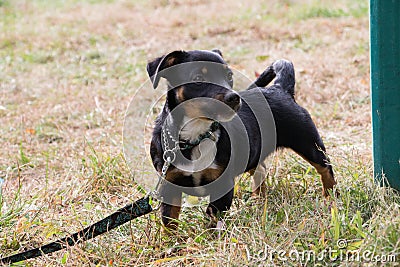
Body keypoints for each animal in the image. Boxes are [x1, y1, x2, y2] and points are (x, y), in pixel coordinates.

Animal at [145, 49, 336, 230]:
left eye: (229, 76)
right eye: (198, 78)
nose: (234, 97)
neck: (197, 134)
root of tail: (281, 88)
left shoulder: (223, 185)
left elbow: (213, 218)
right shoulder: (170, 185)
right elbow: (169, 221)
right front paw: (172, 243)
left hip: (309, 142)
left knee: (325, 169)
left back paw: (330, 198)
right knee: (260, 169)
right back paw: (258, 200)